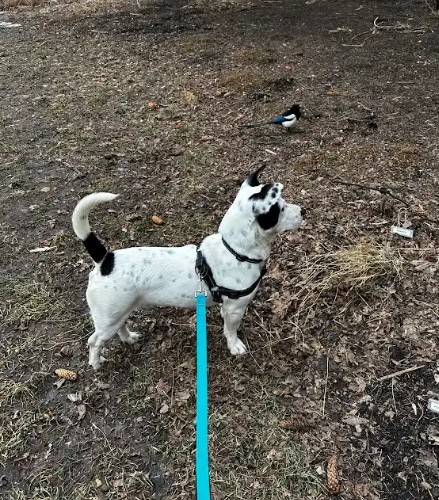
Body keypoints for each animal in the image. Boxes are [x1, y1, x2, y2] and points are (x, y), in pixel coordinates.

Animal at [72, 167, 304, 369]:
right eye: (280, 208)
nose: (303, 211)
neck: (234, 251)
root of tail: (105, 260)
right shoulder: (235, 309)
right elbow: (231, 331)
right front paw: (234, 346)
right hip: (108, 318)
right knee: (94, 341)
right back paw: (96, 362)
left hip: (118, 312)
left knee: (119, 327)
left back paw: (129, 338)